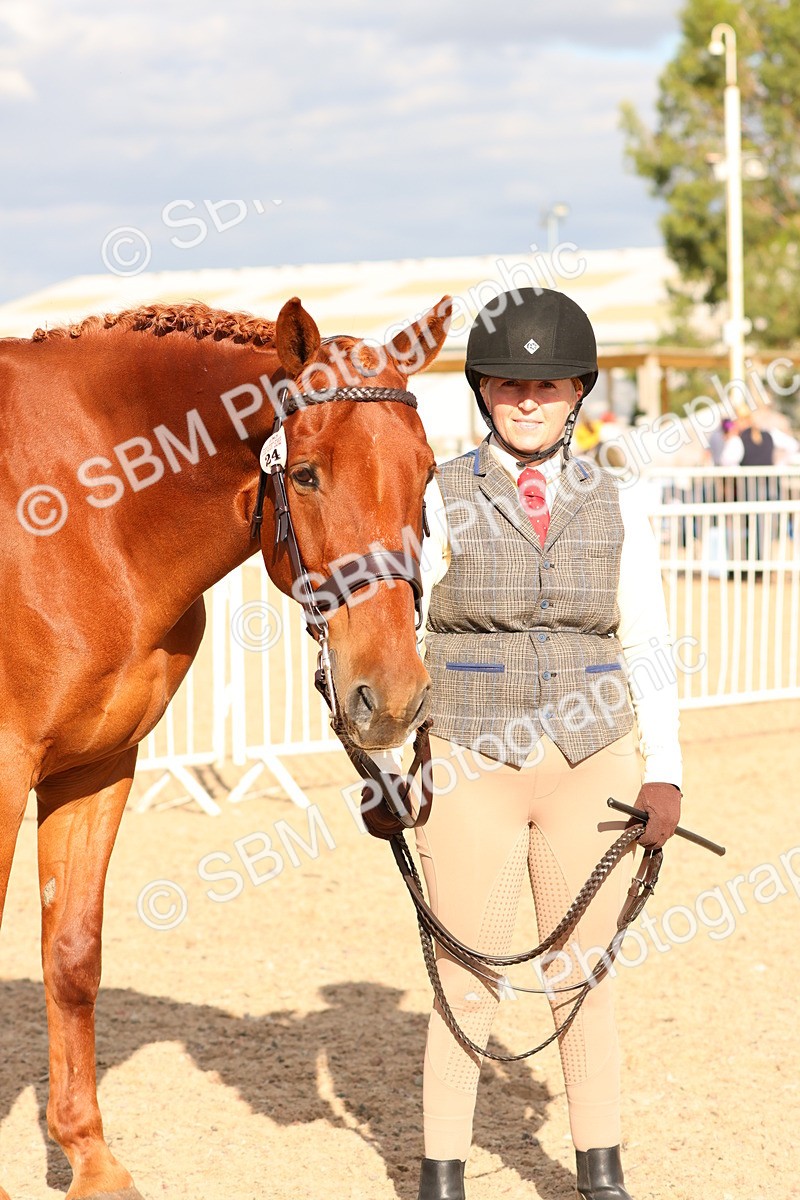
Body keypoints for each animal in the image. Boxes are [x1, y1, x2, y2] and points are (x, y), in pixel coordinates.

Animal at [0, 291, 452, 1200]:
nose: (389, 697)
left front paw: (91, 1160)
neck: (80, 511)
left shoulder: (95, 768)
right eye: (306, 473)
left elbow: (72, 955)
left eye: (427, 474)